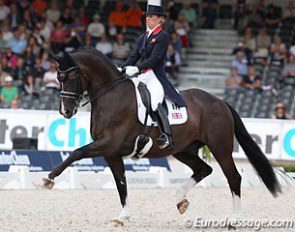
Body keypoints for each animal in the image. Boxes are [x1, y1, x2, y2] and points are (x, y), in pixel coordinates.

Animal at [41, 48, 282, 227]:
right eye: (58, 78)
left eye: (71, 77)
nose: (65, 111)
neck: (112, 94)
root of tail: (220, 102)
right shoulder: (111, 152)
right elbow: (121, 182)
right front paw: (123, 216)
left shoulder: (107, 144)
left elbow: (76, 152)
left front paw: (49, 178)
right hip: (183, 149)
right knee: (204, 169)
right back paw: (180, 200)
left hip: (220, 147)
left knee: (233, 177)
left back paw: (233, 220)